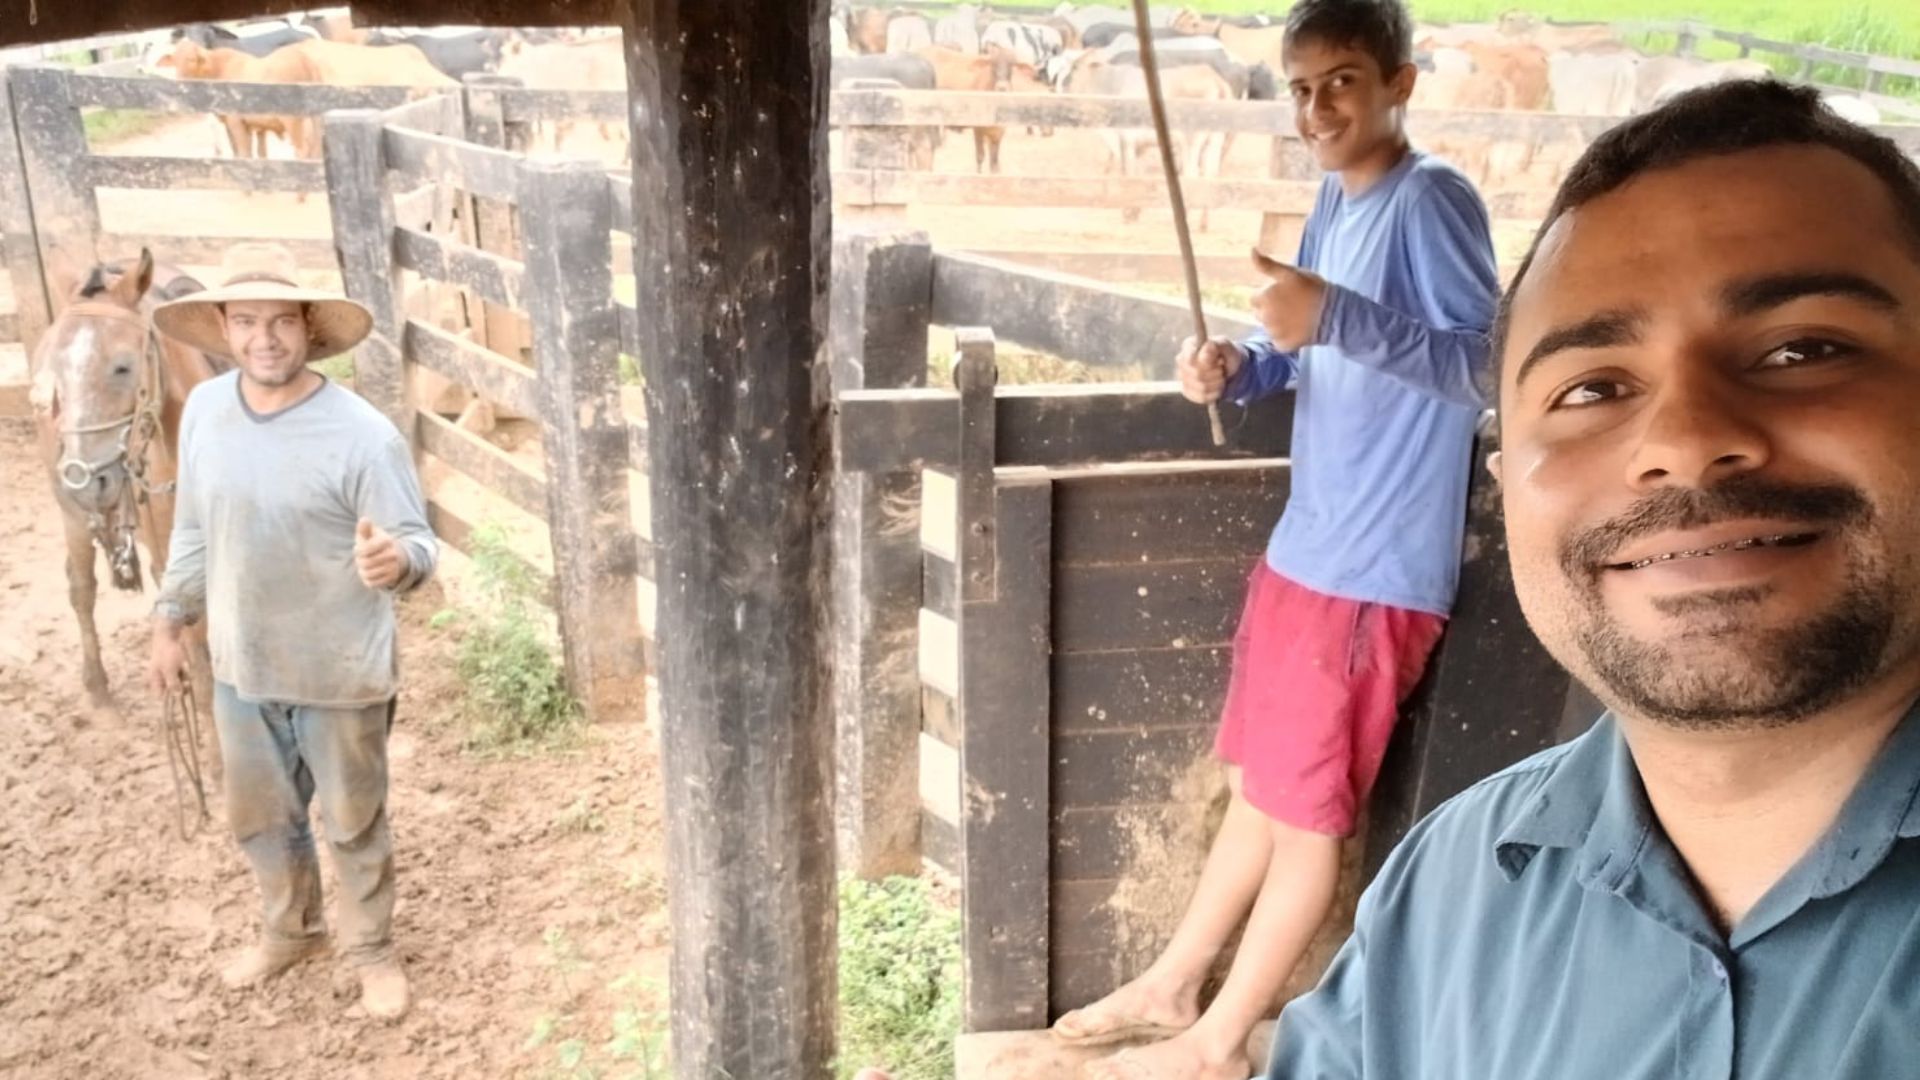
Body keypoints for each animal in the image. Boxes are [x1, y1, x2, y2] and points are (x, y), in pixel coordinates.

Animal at [28, 249, 222, 737]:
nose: (83, 478)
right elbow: (201, 661)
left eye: (122, 366)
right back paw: (99, 691)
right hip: (73, 518)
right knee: (81, 589)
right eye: (57, 377)